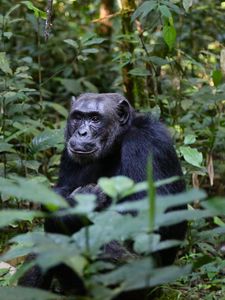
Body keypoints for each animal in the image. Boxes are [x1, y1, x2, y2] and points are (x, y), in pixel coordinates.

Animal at [18, 93, 185, 298]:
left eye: (95, 119)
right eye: (78, 117)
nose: (82, 133)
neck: (116, 143)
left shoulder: (145, 144)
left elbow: (146, 217)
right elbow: (60, 192)